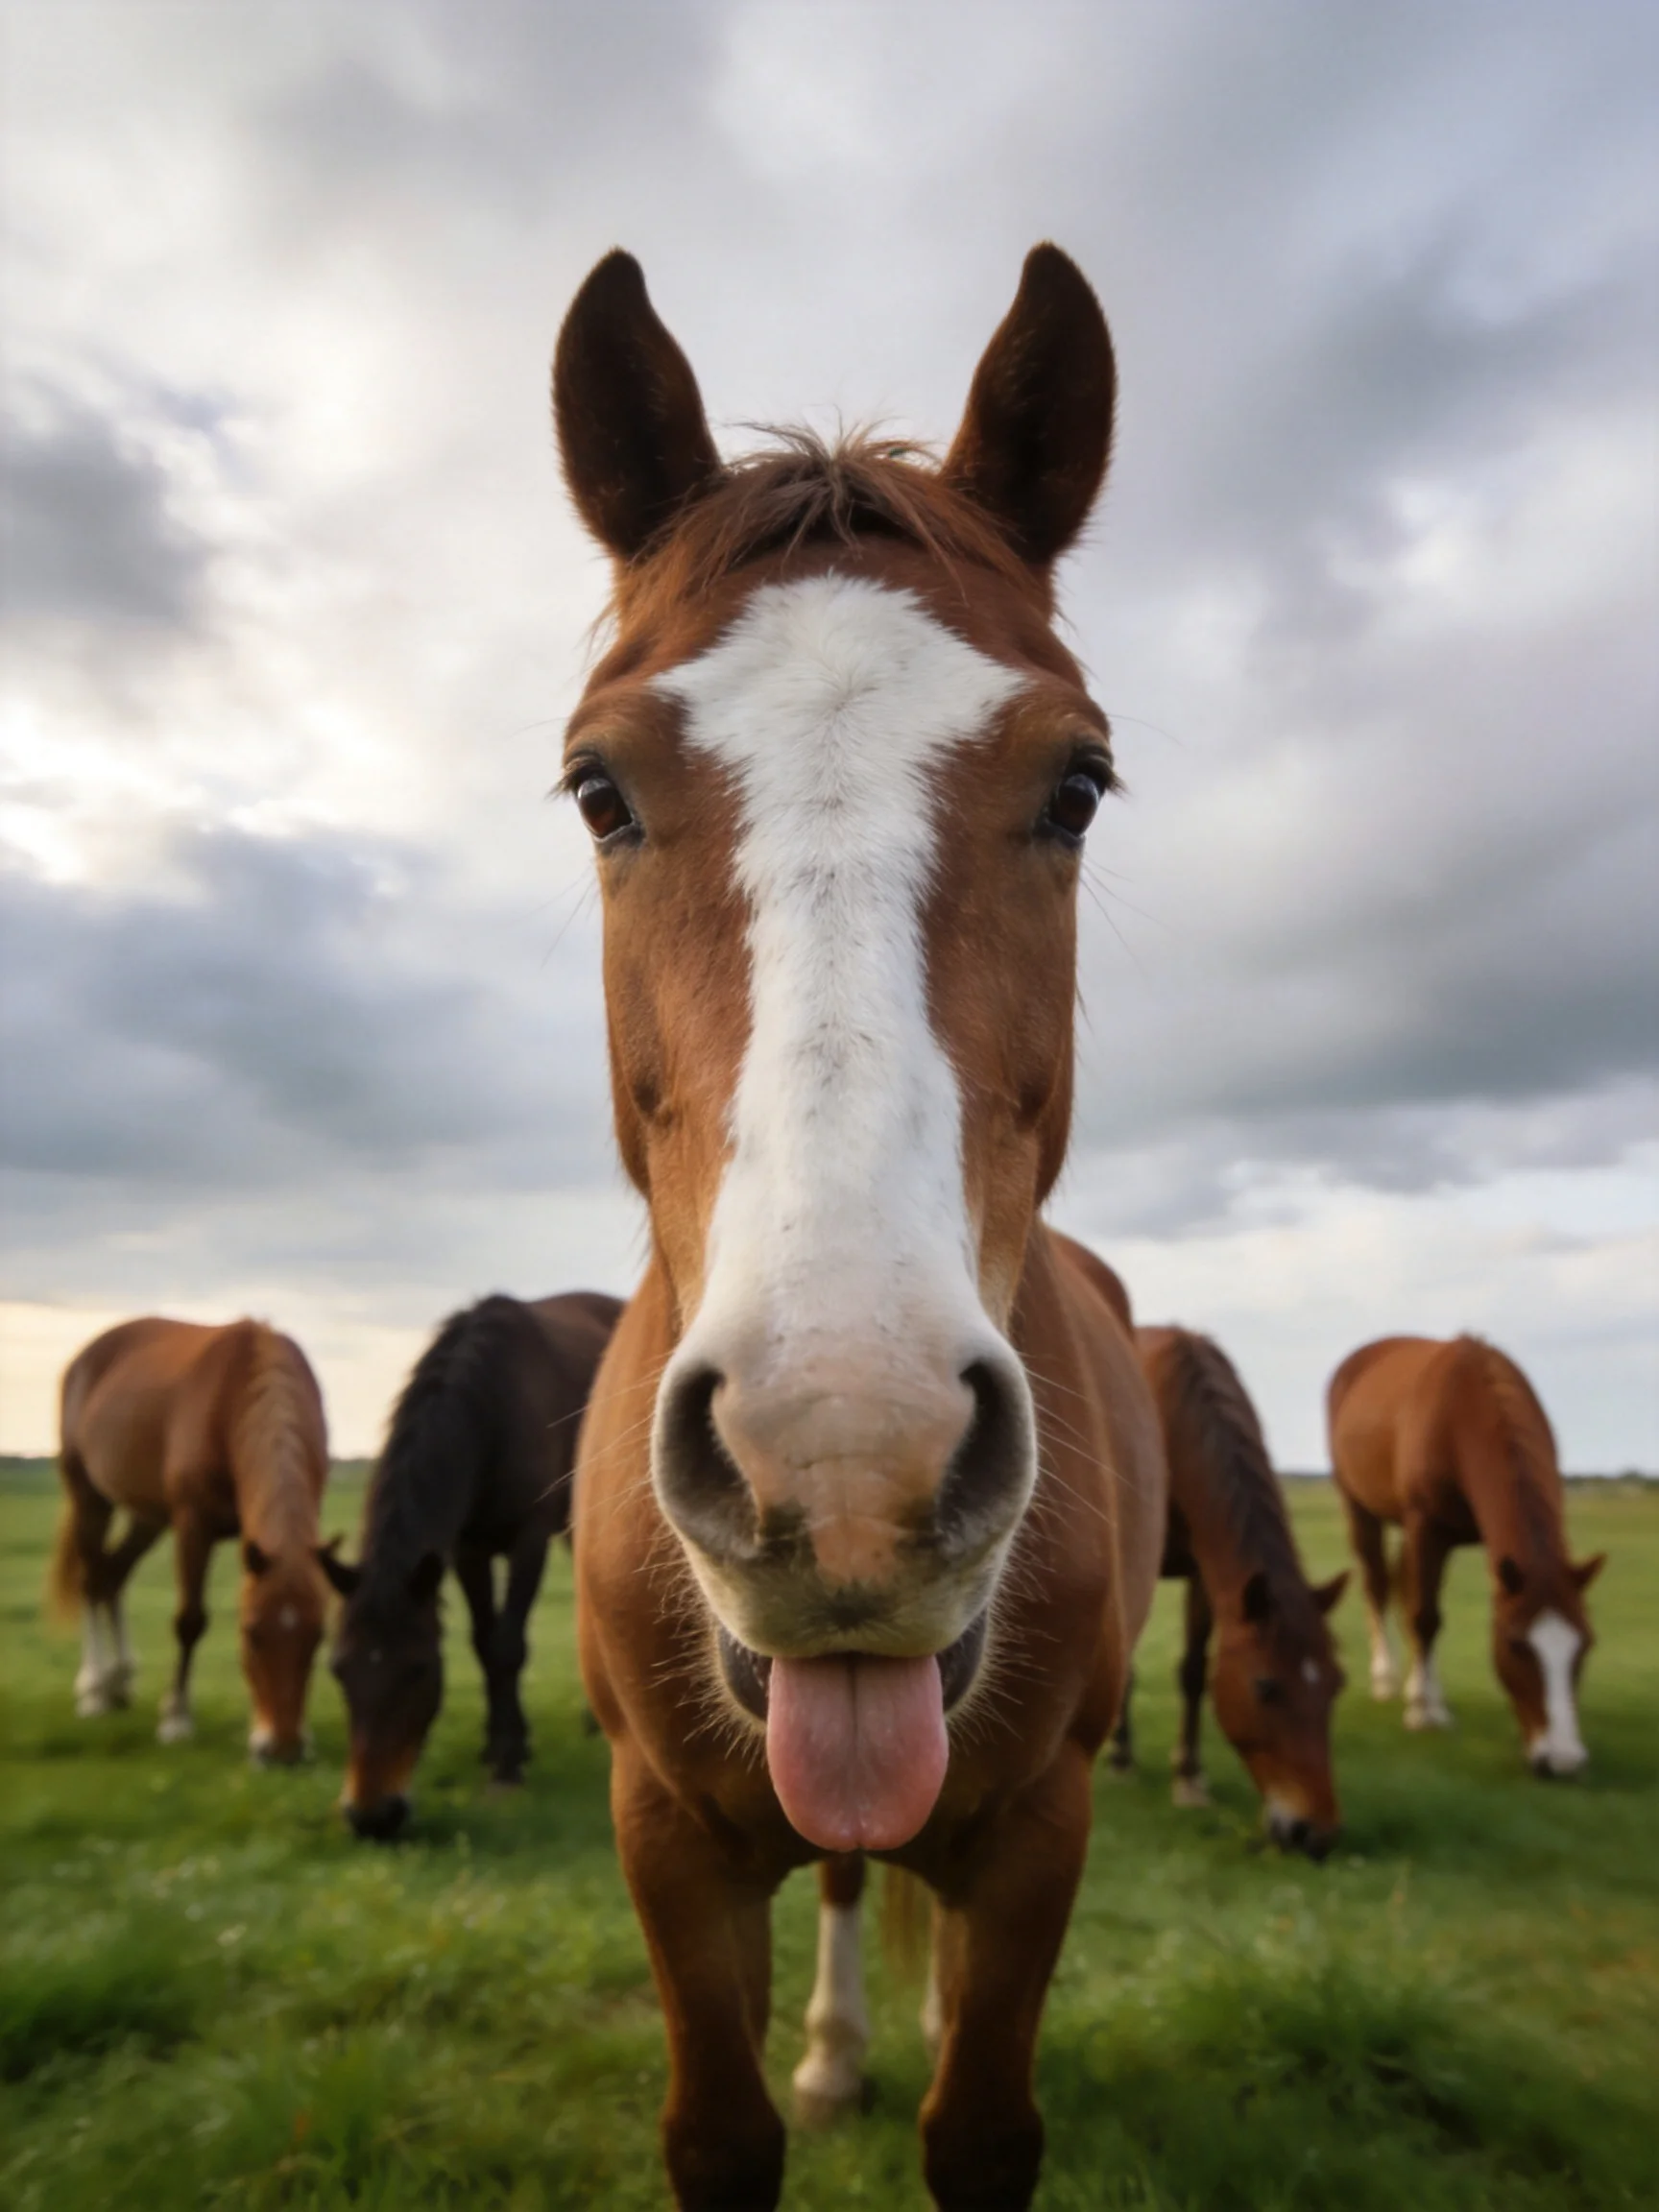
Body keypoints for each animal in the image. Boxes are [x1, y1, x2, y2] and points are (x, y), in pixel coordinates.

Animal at [49, 1316, 331, 1762]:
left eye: (319, 1635)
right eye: (251, 1633)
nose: (283, 1751)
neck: (235, 1398)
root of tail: (84, 1359)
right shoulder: (193, 1525)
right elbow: (190, 1620)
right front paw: (176, 1719)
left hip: (147, 1516)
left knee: (114, 1576)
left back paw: (120, 1681)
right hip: (89, 1498)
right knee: (92, 1582)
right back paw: (94, 1690)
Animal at [321, 1289, 622, 1839]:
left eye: (419, 1669)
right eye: (338, 1668)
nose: (372, 1817)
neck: (491, 1403)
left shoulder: (528, 1540)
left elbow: (507, 1645)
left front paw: (507, 1765)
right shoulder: (467, 1549)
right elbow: (484, 1645)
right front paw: (500, 1743)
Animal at [554, 244, 1166, 2212]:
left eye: (1077, 784)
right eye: (600, 789)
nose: (841, 1455)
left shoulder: (1040, 1831)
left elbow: (979, 2126)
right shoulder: (663, 1836)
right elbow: (720, 2127)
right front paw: (799, 2071)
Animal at [1109, 1317, 1348, 1857]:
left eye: (1336, 1685)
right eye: (1265, 1686)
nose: (1315, 1835)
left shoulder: (1209, 1573)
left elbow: (1195, 1671)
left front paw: (1189, 1777)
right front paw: (1124, 1758)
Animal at [1327, 1334, 1605, 1775]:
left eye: (1586, 1643)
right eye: (1515, 1644)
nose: (1562, 1760)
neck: (1463, 1412)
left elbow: (1426, 1613)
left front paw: (1427, 1698)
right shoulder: (1426, 1527)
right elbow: (1425, 1617)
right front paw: (1423, 1713)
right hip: (1360, 1510)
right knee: (1379, 1586)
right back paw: (1388, 1679)